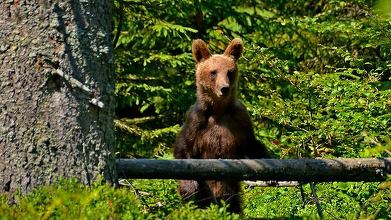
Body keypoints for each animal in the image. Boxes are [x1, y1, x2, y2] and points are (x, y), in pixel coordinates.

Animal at [175, 38, 270, 213]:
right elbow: (183, 149)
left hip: (232, 193)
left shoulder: (240, 119)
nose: (224, 88)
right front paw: (189, 187)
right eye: (213, 72)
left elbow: (253, 145)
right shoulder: (196, 121)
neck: (218, 111)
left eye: (229, 72)